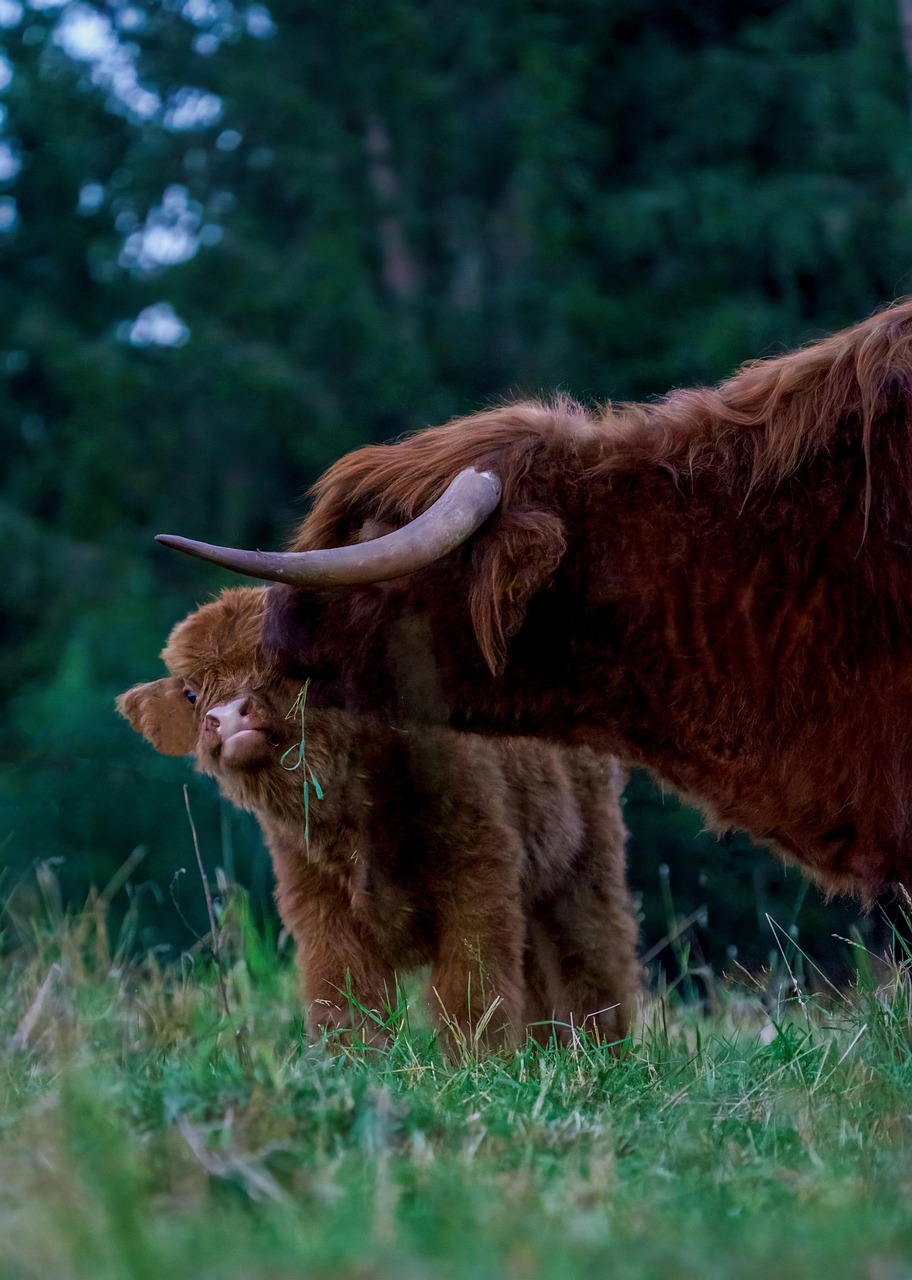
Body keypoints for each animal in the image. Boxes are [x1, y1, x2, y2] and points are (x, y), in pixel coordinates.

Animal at [117, 587, 640, 1051]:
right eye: (190, 692)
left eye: (280, 662)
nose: (228, 716)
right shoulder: (314, 899)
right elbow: (347, 1000)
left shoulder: (478, 877)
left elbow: (470, 990)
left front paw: (479, 1066)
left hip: (586, 868)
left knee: (594, 962)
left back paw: (604, 1054)